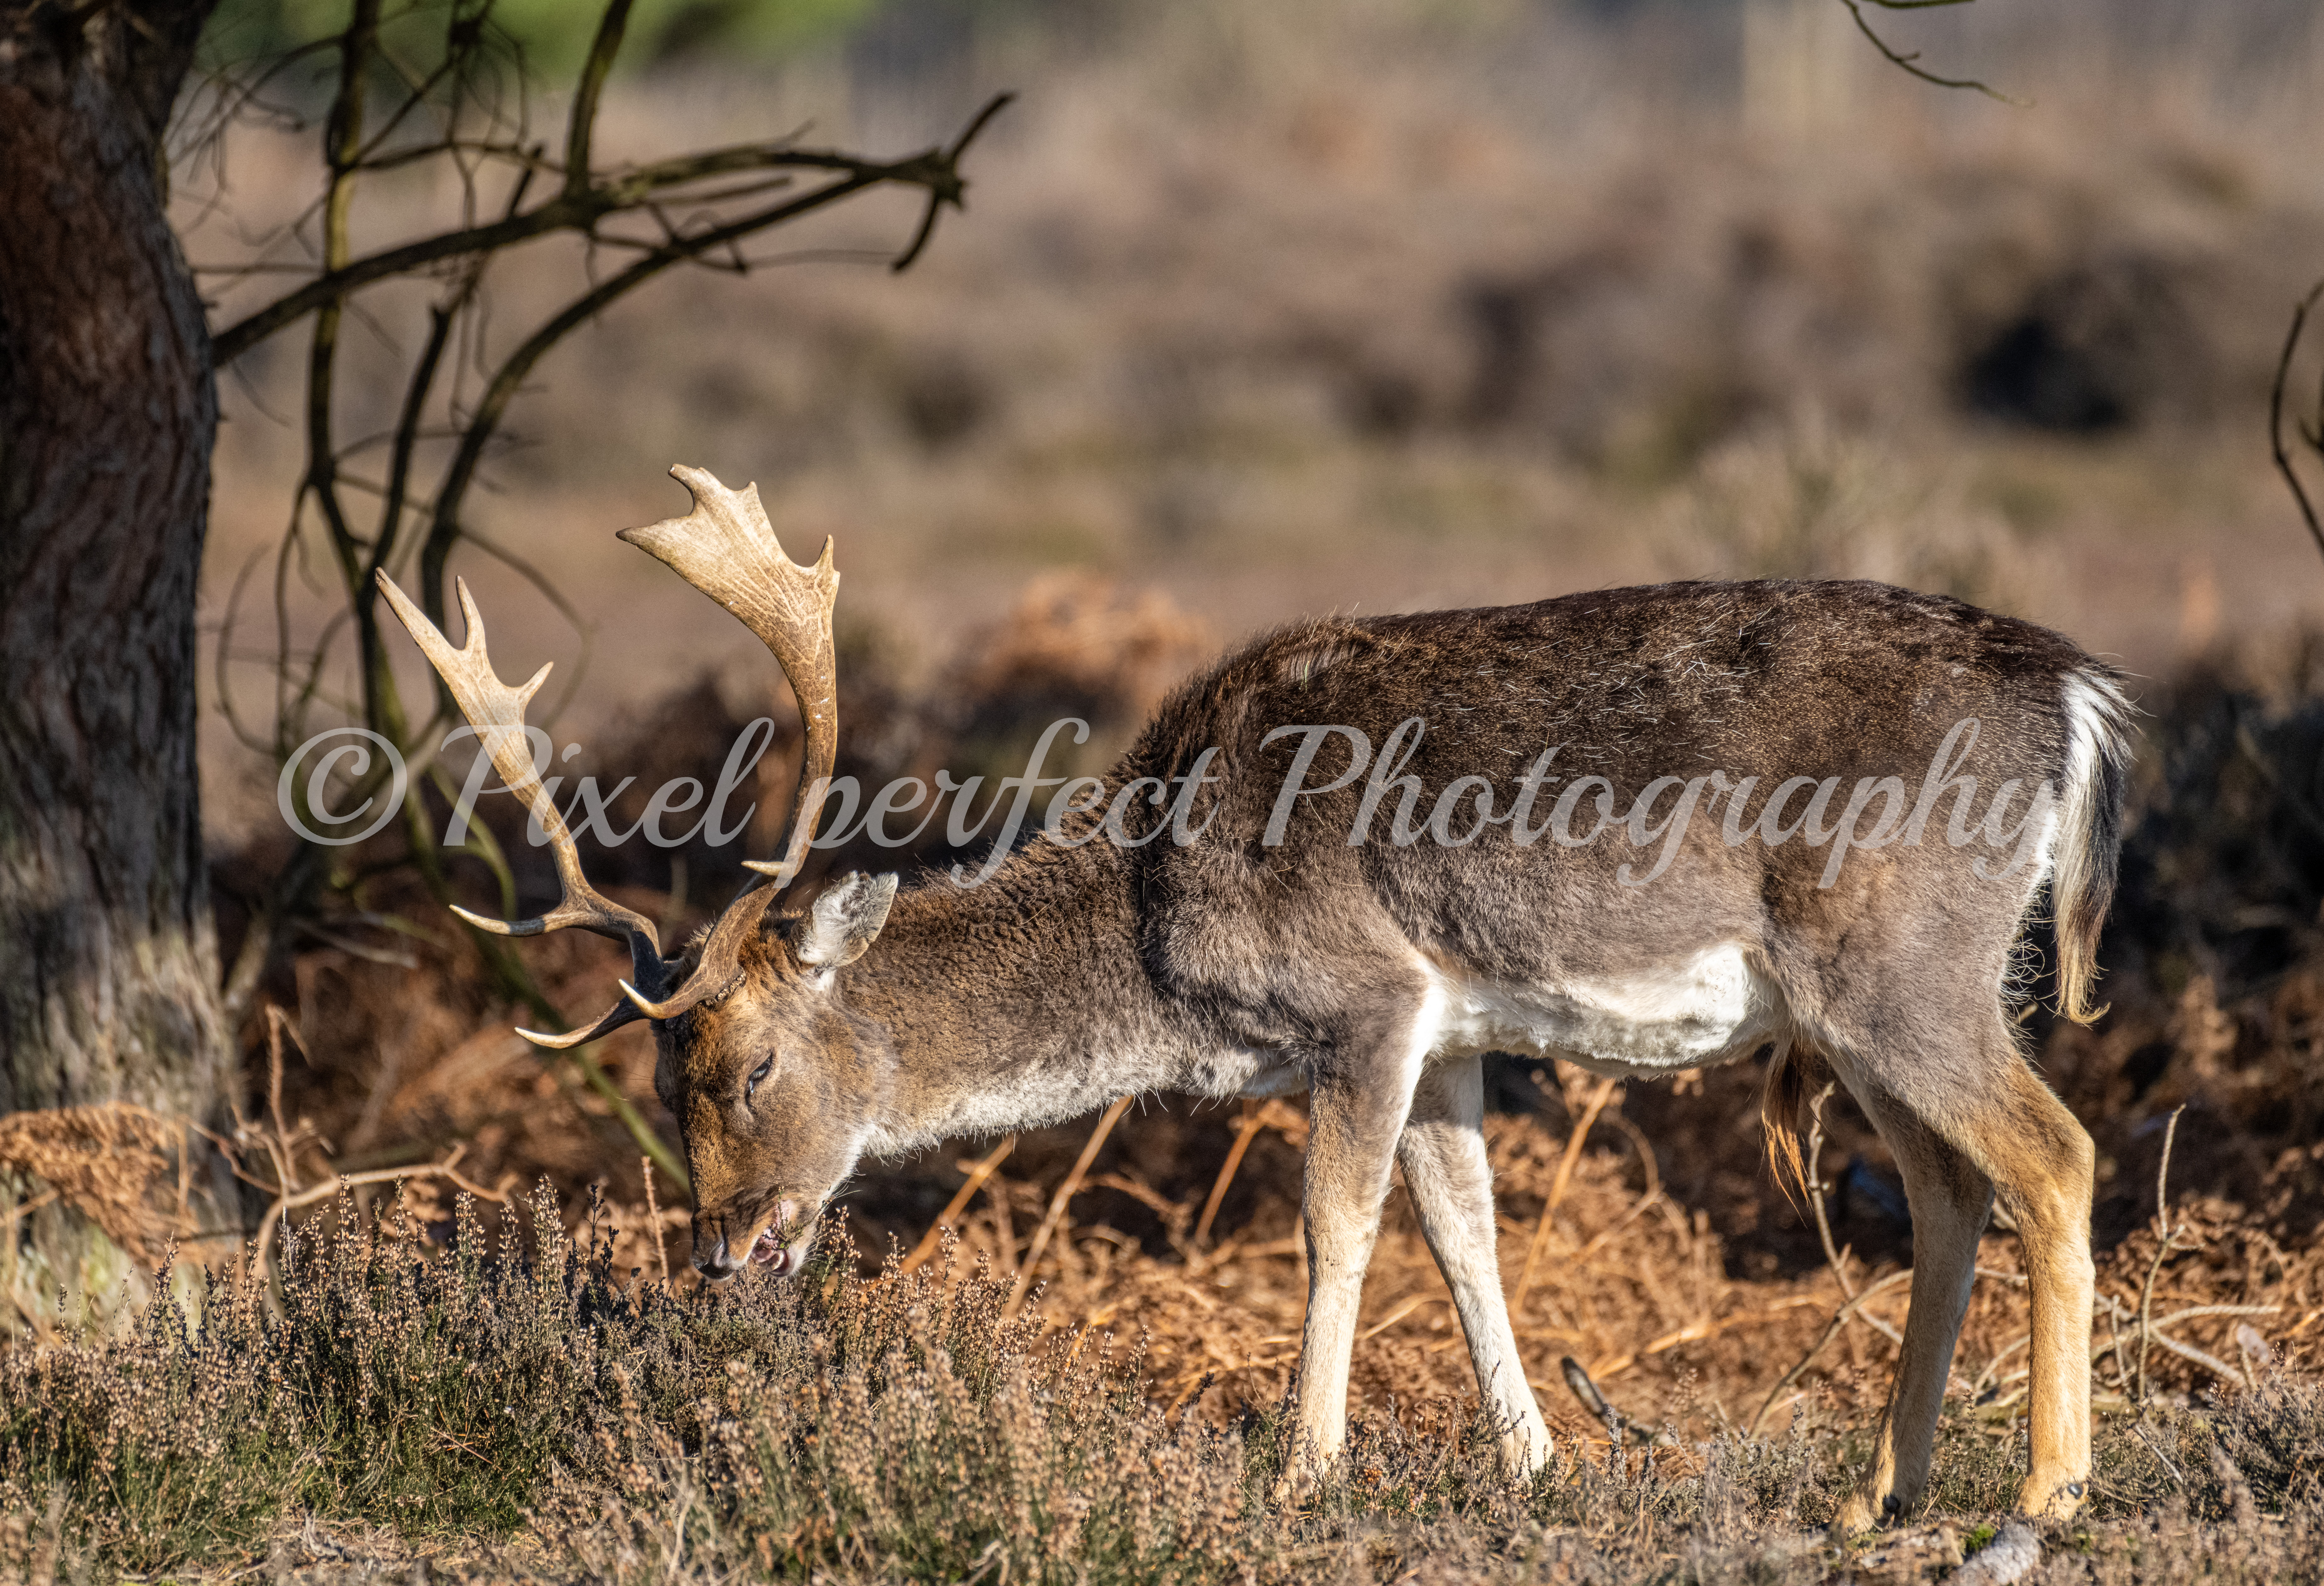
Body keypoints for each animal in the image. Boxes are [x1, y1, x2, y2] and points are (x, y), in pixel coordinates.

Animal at [377, 463, 2129, 1530]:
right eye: (658, 1076)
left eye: (741, 1066)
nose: (723, 1252)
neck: (1165, 933)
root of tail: (2075, 696)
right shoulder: (1450, 1031)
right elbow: (1464, 1228)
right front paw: (1532, 1464)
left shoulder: (1364, 998)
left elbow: (1334, 1224)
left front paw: (1301, 1471)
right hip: (1874, 1002)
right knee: (1947, 1188)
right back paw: (1872, 1492)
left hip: (1898, 963)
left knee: (2052, 1155)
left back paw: (2041, 1495)